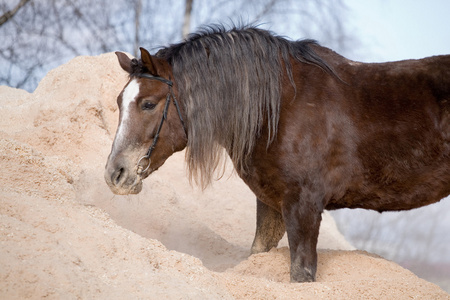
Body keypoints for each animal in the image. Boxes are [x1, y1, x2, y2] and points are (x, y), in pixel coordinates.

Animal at [103, 25, 448, 282]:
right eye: (120, 101)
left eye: (148, 104)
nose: (115, 174)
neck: (279, 107)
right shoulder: (271, 203)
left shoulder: (304, 206)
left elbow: (300, 273)